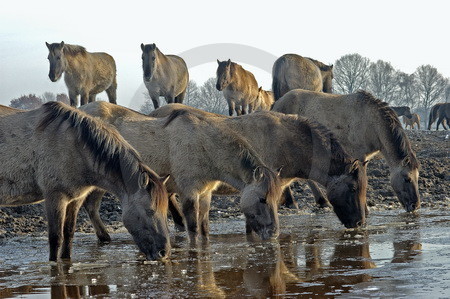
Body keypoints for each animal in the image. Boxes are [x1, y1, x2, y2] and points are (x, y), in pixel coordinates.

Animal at [0, 102, 171, 262]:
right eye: (150, 210)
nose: (164, 252)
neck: (75, 147)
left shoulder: (75, 199)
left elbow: (68, 234)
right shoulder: (55, 197)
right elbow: (56, 239)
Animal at [78, 102, 282, 243]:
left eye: (277, 199)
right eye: (262, 199)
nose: (273, 233)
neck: (204, 145)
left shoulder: (205, 193)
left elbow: (204, 228)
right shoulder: (189, 192)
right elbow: (193, 229)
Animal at [274, 89, 422, 213]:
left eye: (417, 177)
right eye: (407, 178)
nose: (415, 205)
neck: (372, 122)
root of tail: (277, 103)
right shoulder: (359, 156)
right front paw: (365, 209)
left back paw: (321, 201)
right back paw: (293, 202)